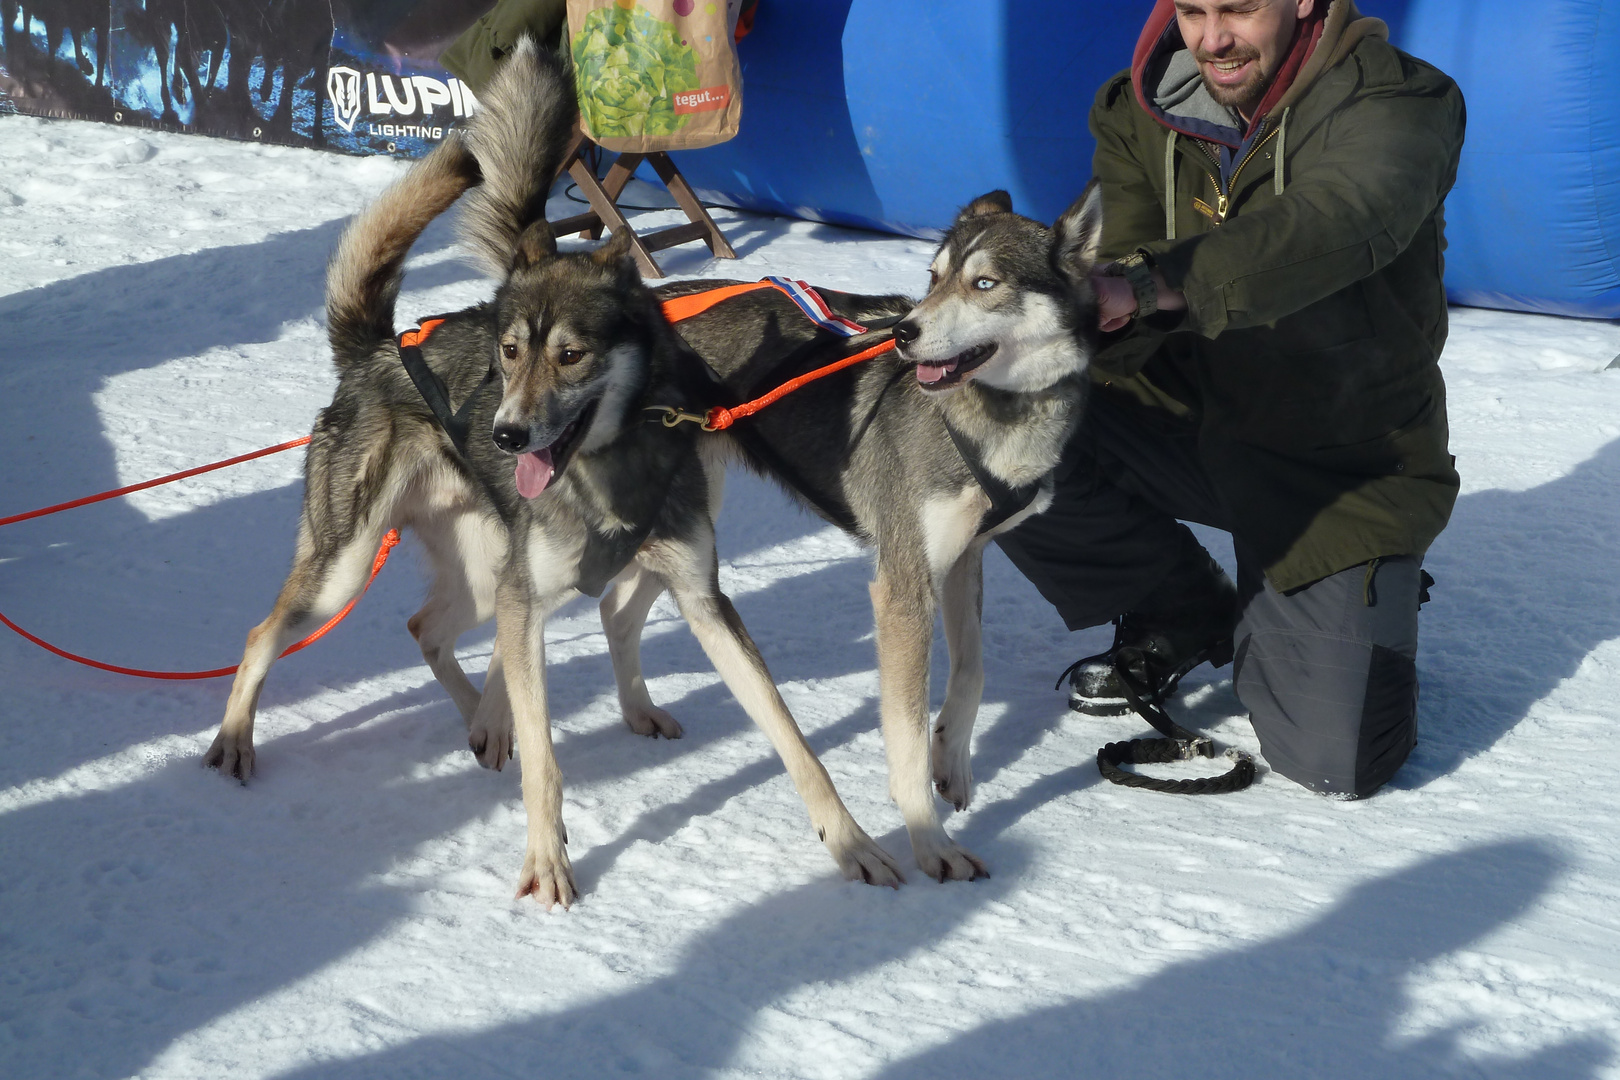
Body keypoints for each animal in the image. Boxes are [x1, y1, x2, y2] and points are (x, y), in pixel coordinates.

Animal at [200, 40, 900, 906]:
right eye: (508, 352)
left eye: (570, 355)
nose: (505, 434)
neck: (609, 471)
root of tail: (375, 351)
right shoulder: (529, 600)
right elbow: (547, 759)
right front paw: (546, 859)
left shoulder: (700, 599)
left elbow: (792, 738)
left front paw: (852, 843)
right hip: (351, 570)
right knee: (267, 633)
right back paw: (239, 737)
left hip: (482, 576)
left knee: (429, 629)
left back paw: (481, 720)